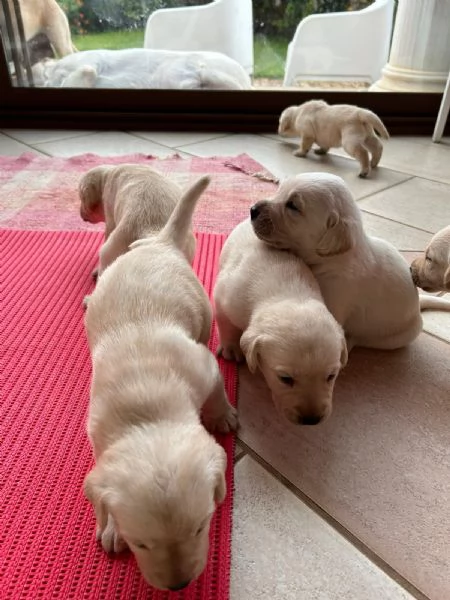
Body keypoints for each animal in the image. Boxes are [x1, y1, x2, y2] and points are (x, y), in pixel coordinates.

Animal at [83, 173, 237, 592]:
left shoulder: (202, 367)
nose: (179, 585)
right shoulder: (98, 429)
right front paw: (111, 528)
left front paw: (223, 416)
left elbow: (216, 390)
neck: (146, 409)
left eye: (201, 527)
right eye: (141, 543)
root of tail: (158, 241)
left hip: (201, 306)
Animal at [213, 218, 346, 424]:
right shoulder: (225, 297)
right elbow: (225, 321)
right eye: (285, 378)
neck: (290, 293)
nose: (311, 420)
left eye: (331, 375)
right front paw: (231, 348)